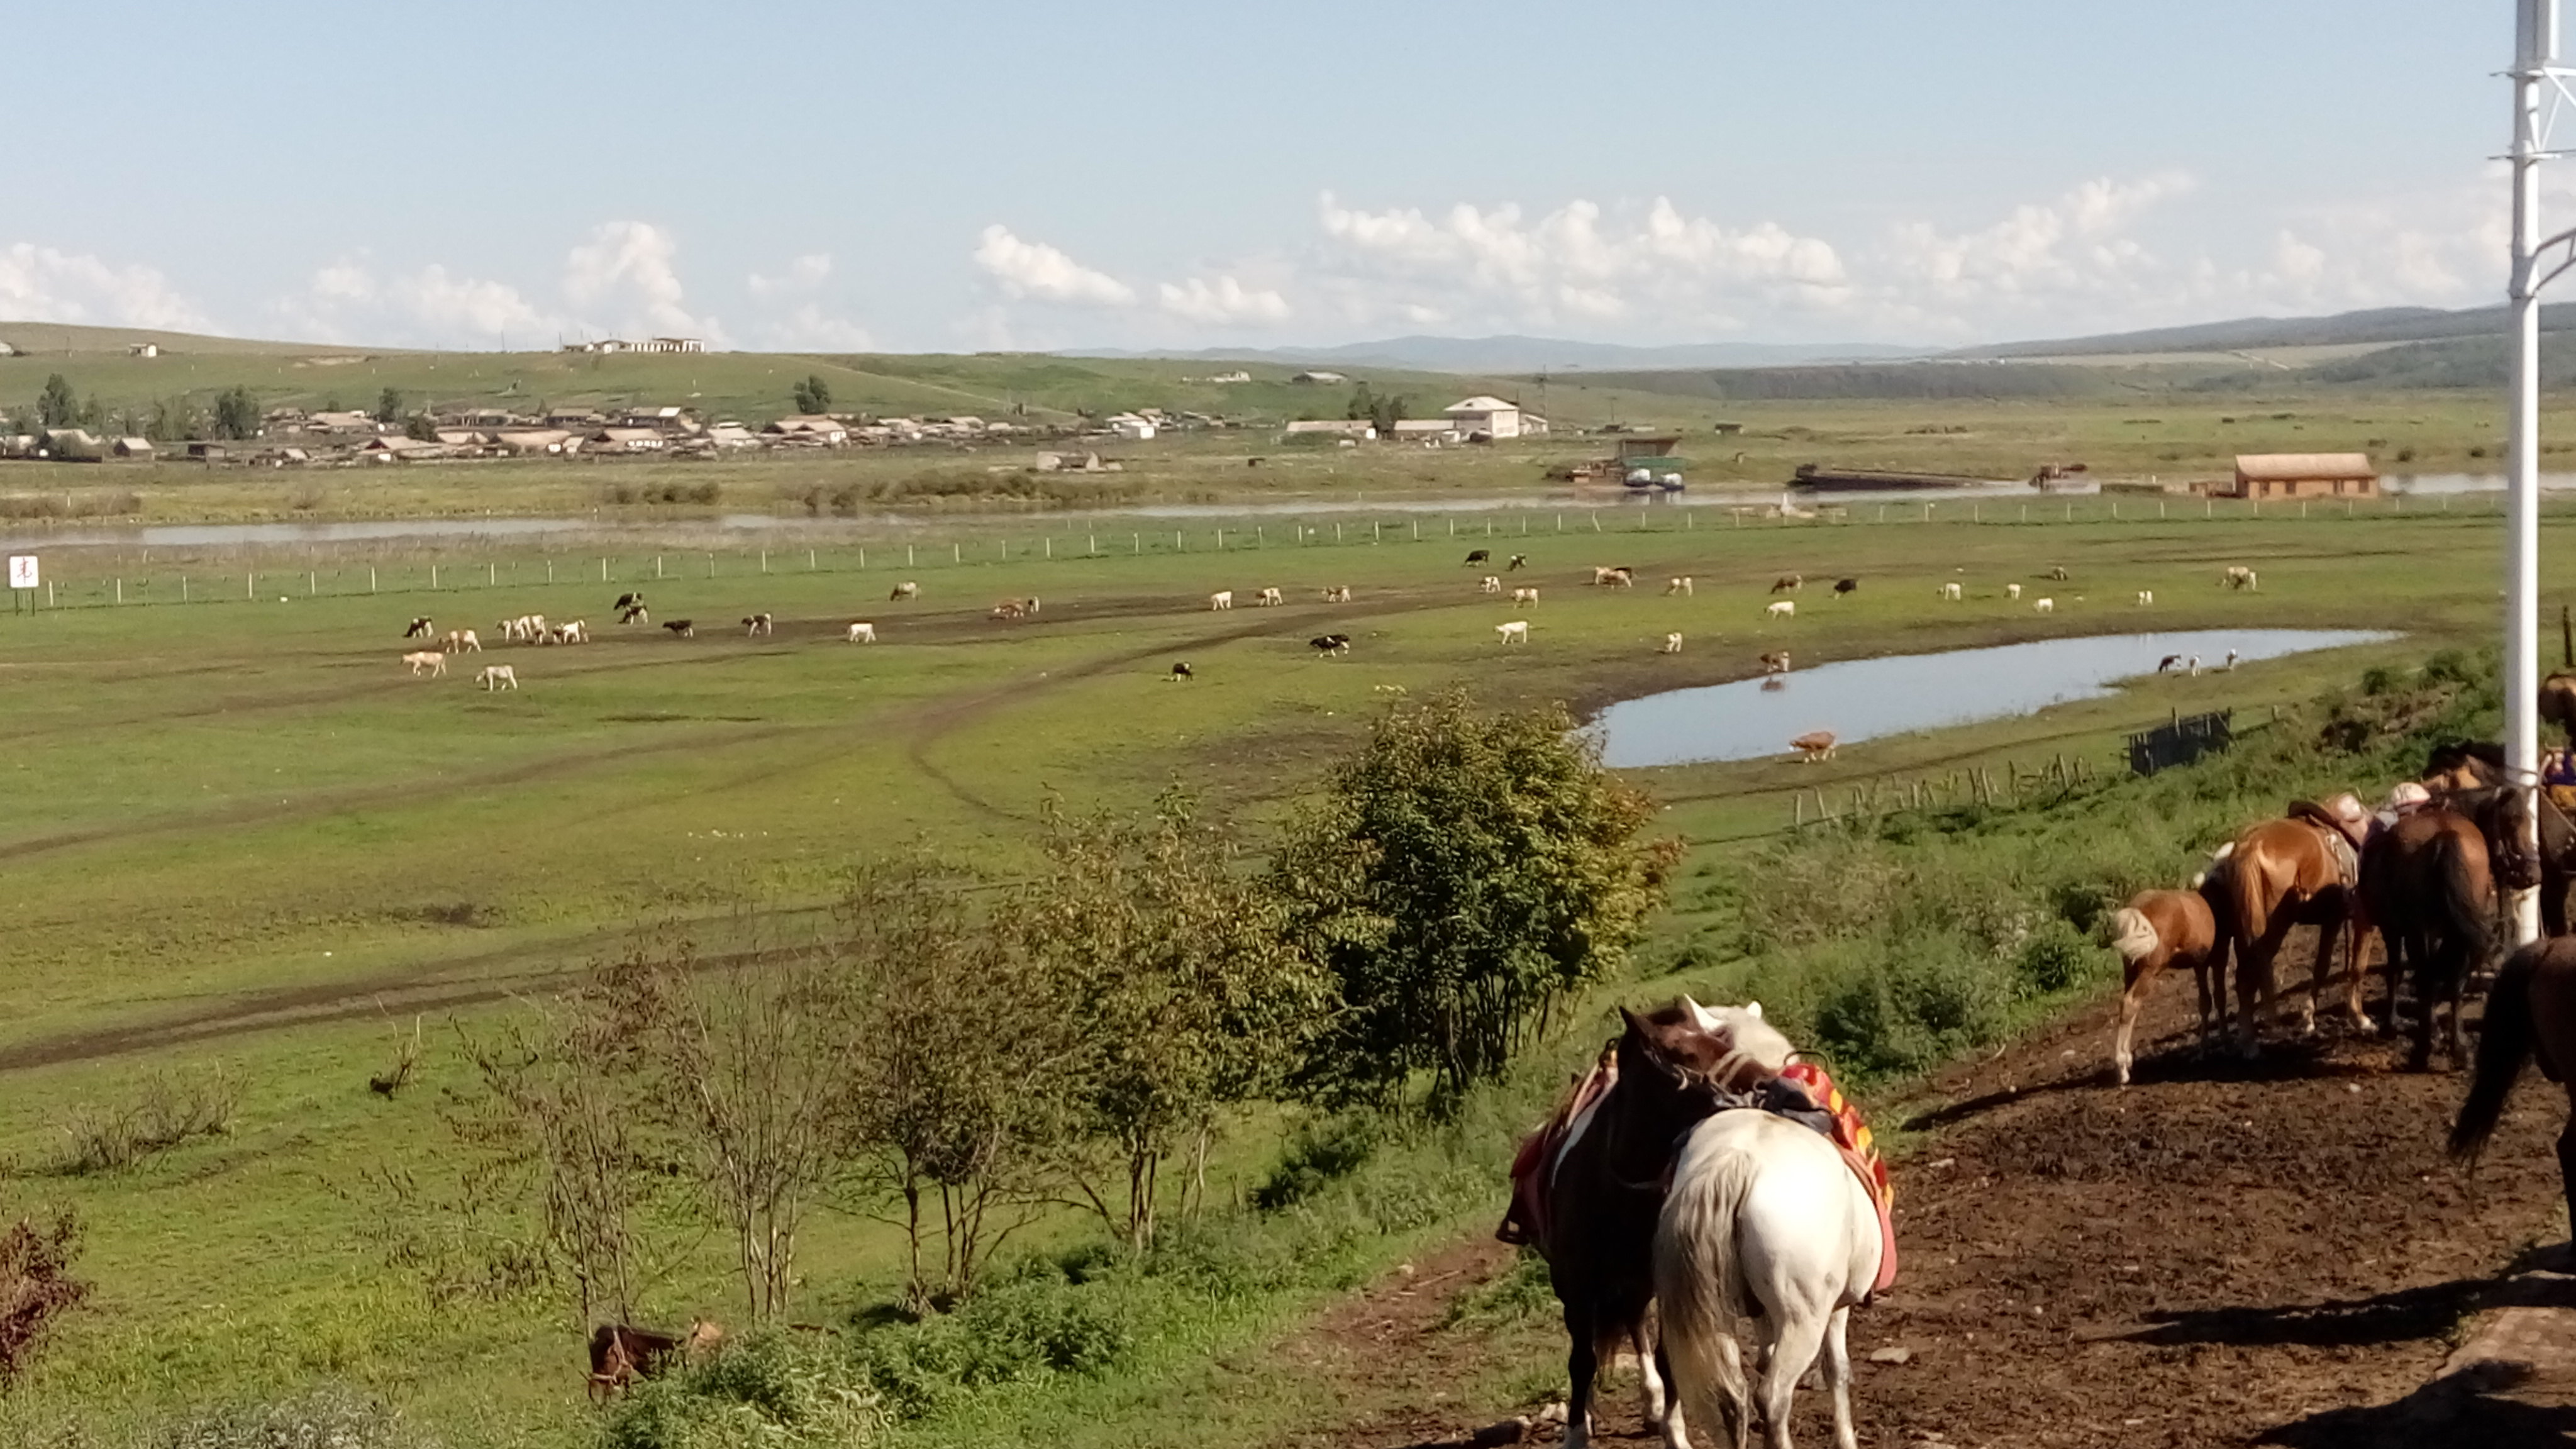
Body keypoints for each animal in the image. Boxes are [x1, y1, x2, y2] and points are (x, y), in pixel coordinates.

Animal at [1504, 990, 1792, 1443]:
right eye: (1684, 1052)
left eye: (1720, 1041)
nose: (1772, 1081)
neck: (1614, 1187)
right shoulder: (1576, 1288)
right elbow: (1581, 1361)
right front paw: (1577, 1431)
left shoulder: (1658, 1279)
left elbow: (1662, 1356)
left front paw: (1673, 1430)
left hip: (1637, 1283)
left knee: (1635, 1324)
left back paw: (1652, 1403)